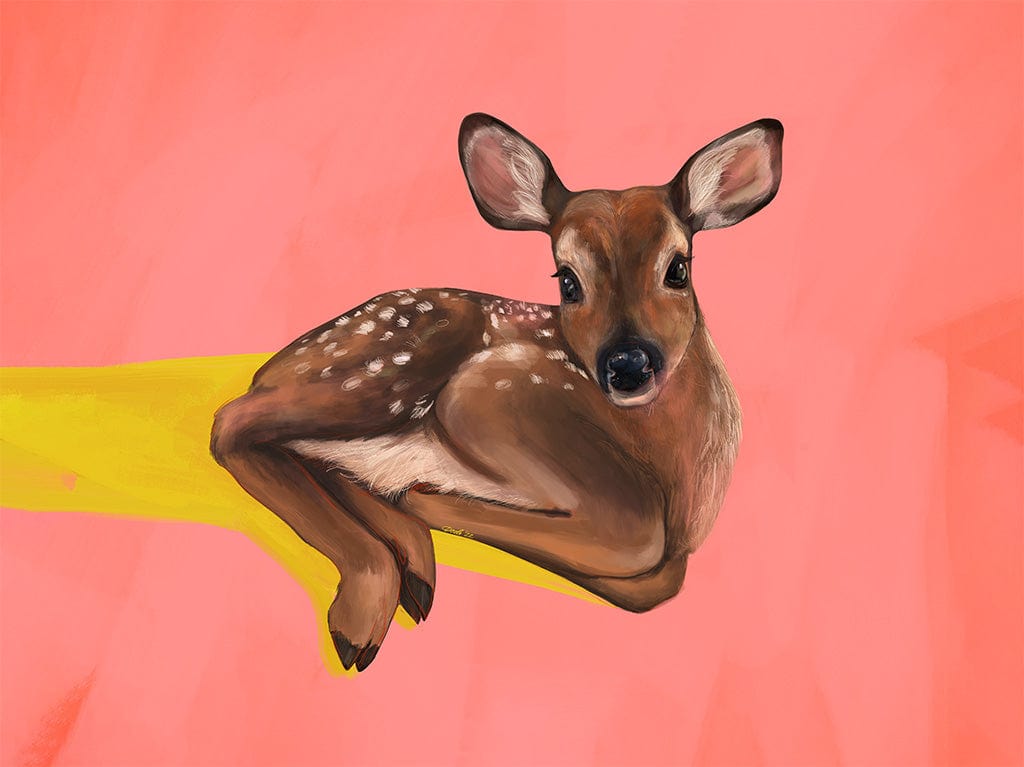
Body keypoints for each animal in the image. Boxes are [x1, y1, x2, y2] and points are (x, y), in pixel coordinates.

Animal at [210, 113, 783, 671]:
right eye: (567, 280)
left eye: (678, 268)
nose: (628, 365)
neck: (685, 487)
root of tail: (278, 361)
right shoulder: (493, 390)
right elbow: (644, 542)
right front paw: (429, 499)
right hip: (394, 364)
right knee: (232, 422)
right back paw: (366, 607)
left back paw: (415, 568)